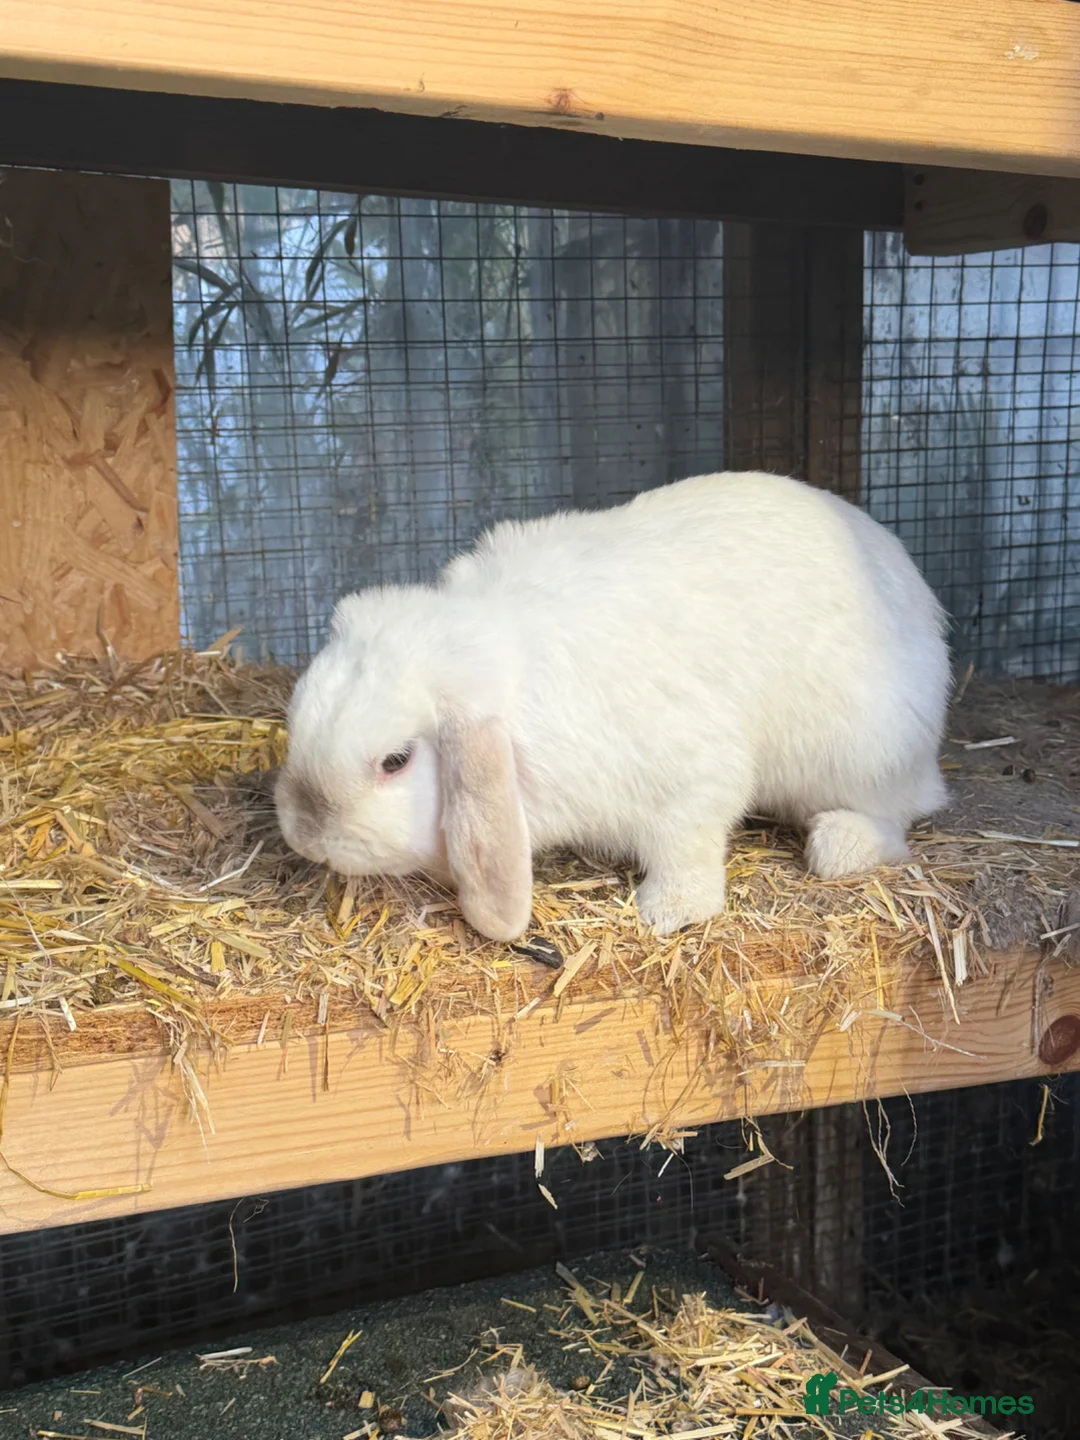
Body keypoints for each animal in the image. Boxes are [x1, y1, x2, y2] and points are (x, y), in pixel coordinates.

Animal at [275, 471, 950, 942]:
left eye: (395, 761)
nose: (306, 837)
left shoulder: (694, 780)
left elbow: (688, 848)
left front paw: (666, 911)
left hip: (860, 757)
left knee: (897, 818)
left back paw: (841, 843)